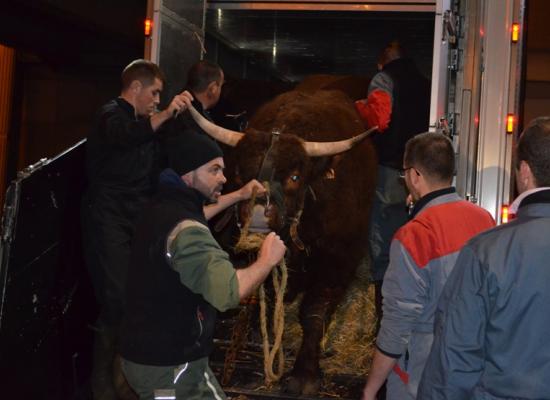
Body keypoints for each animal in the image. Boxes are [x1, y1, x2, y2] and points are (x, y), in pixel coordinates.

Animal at [190, 88, 380, 396]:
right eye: (241, 173)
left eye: (294, 176)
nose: (257, 214)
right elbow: (268, 296)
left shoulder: (339, 259)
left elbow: (314, 313)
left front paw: (305, 374)